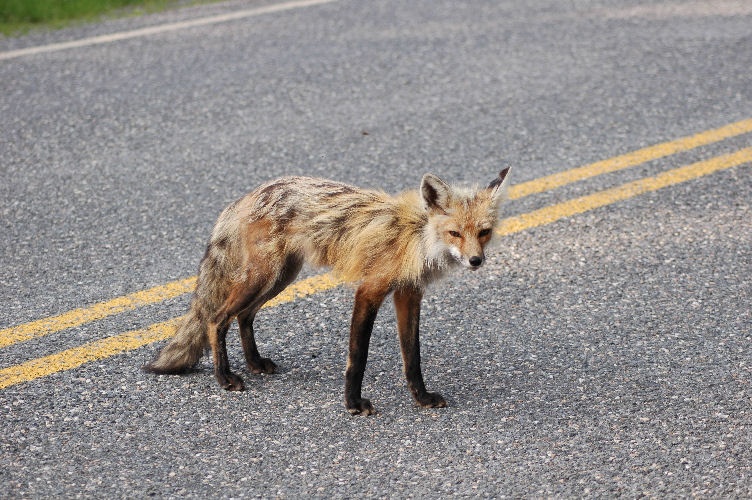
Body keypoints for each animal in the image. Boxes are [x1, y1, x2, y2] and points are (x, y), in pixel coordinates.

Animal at [144, 168, 512, 414]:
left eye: (483, 232)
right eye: (454, 233)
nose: (476, 261)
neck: (415, 238)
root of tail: (249, 195)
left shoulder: (408, 294)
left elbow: (413, 357)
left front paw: (421, 398)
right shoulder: (369, 290)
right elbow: (358, 357)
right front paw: (353, 403)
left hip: (280, 278)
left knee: (244, 316)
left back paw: (254, 363)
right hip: (262, 277)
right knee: (217, 319)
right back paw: (225, 377)